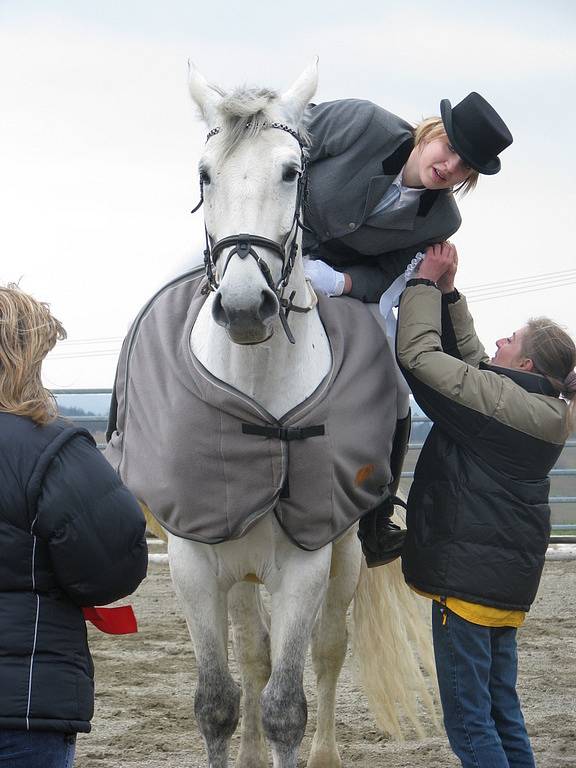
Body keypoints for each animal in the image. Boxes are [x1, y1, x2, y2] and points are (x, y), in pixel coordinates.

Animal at [140, 61, 434, 768]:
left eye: (290, 172)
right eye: (205, 173)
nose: (248, 306)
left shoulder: (305, 564)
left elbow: (285, 706)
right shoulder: (194, 561)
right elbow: (217, 700)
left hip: (344, 559)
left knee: (326, 654)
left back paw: (325, 752)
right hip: (242, 568)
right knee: (253, 653)